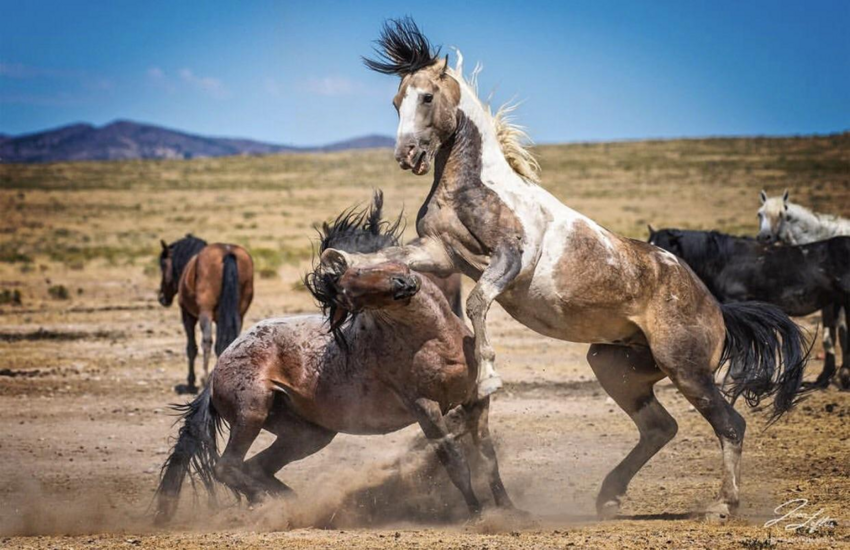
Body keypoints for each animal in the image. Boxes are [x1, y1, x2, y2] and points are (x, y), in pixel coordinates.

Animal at [157, 235, 253, 394]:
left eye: (163, 265)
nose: (162, 298)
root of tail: (228, 252)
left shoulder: (187, 315)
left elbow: (192, 347)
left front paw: (191, 381)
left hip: (204, 313)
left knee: (206, 342)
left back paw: (204, 380)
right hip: (240, 313)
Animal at [322, 19, 812, 524]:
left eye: (425, 97)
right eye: (396, 101)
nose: (408, 156)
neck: (476, 186)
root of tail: (716, 307)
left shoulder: (509, 258)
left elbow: (478, 303)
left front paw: (489, 375)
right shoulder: (439, 253)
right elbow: (387, 258)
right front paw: (336, 265)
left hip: (686, 369)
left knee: (730, 424)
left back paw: (722, 505)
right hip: (617, 367)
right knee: (660, 427)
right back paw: (609, 496)